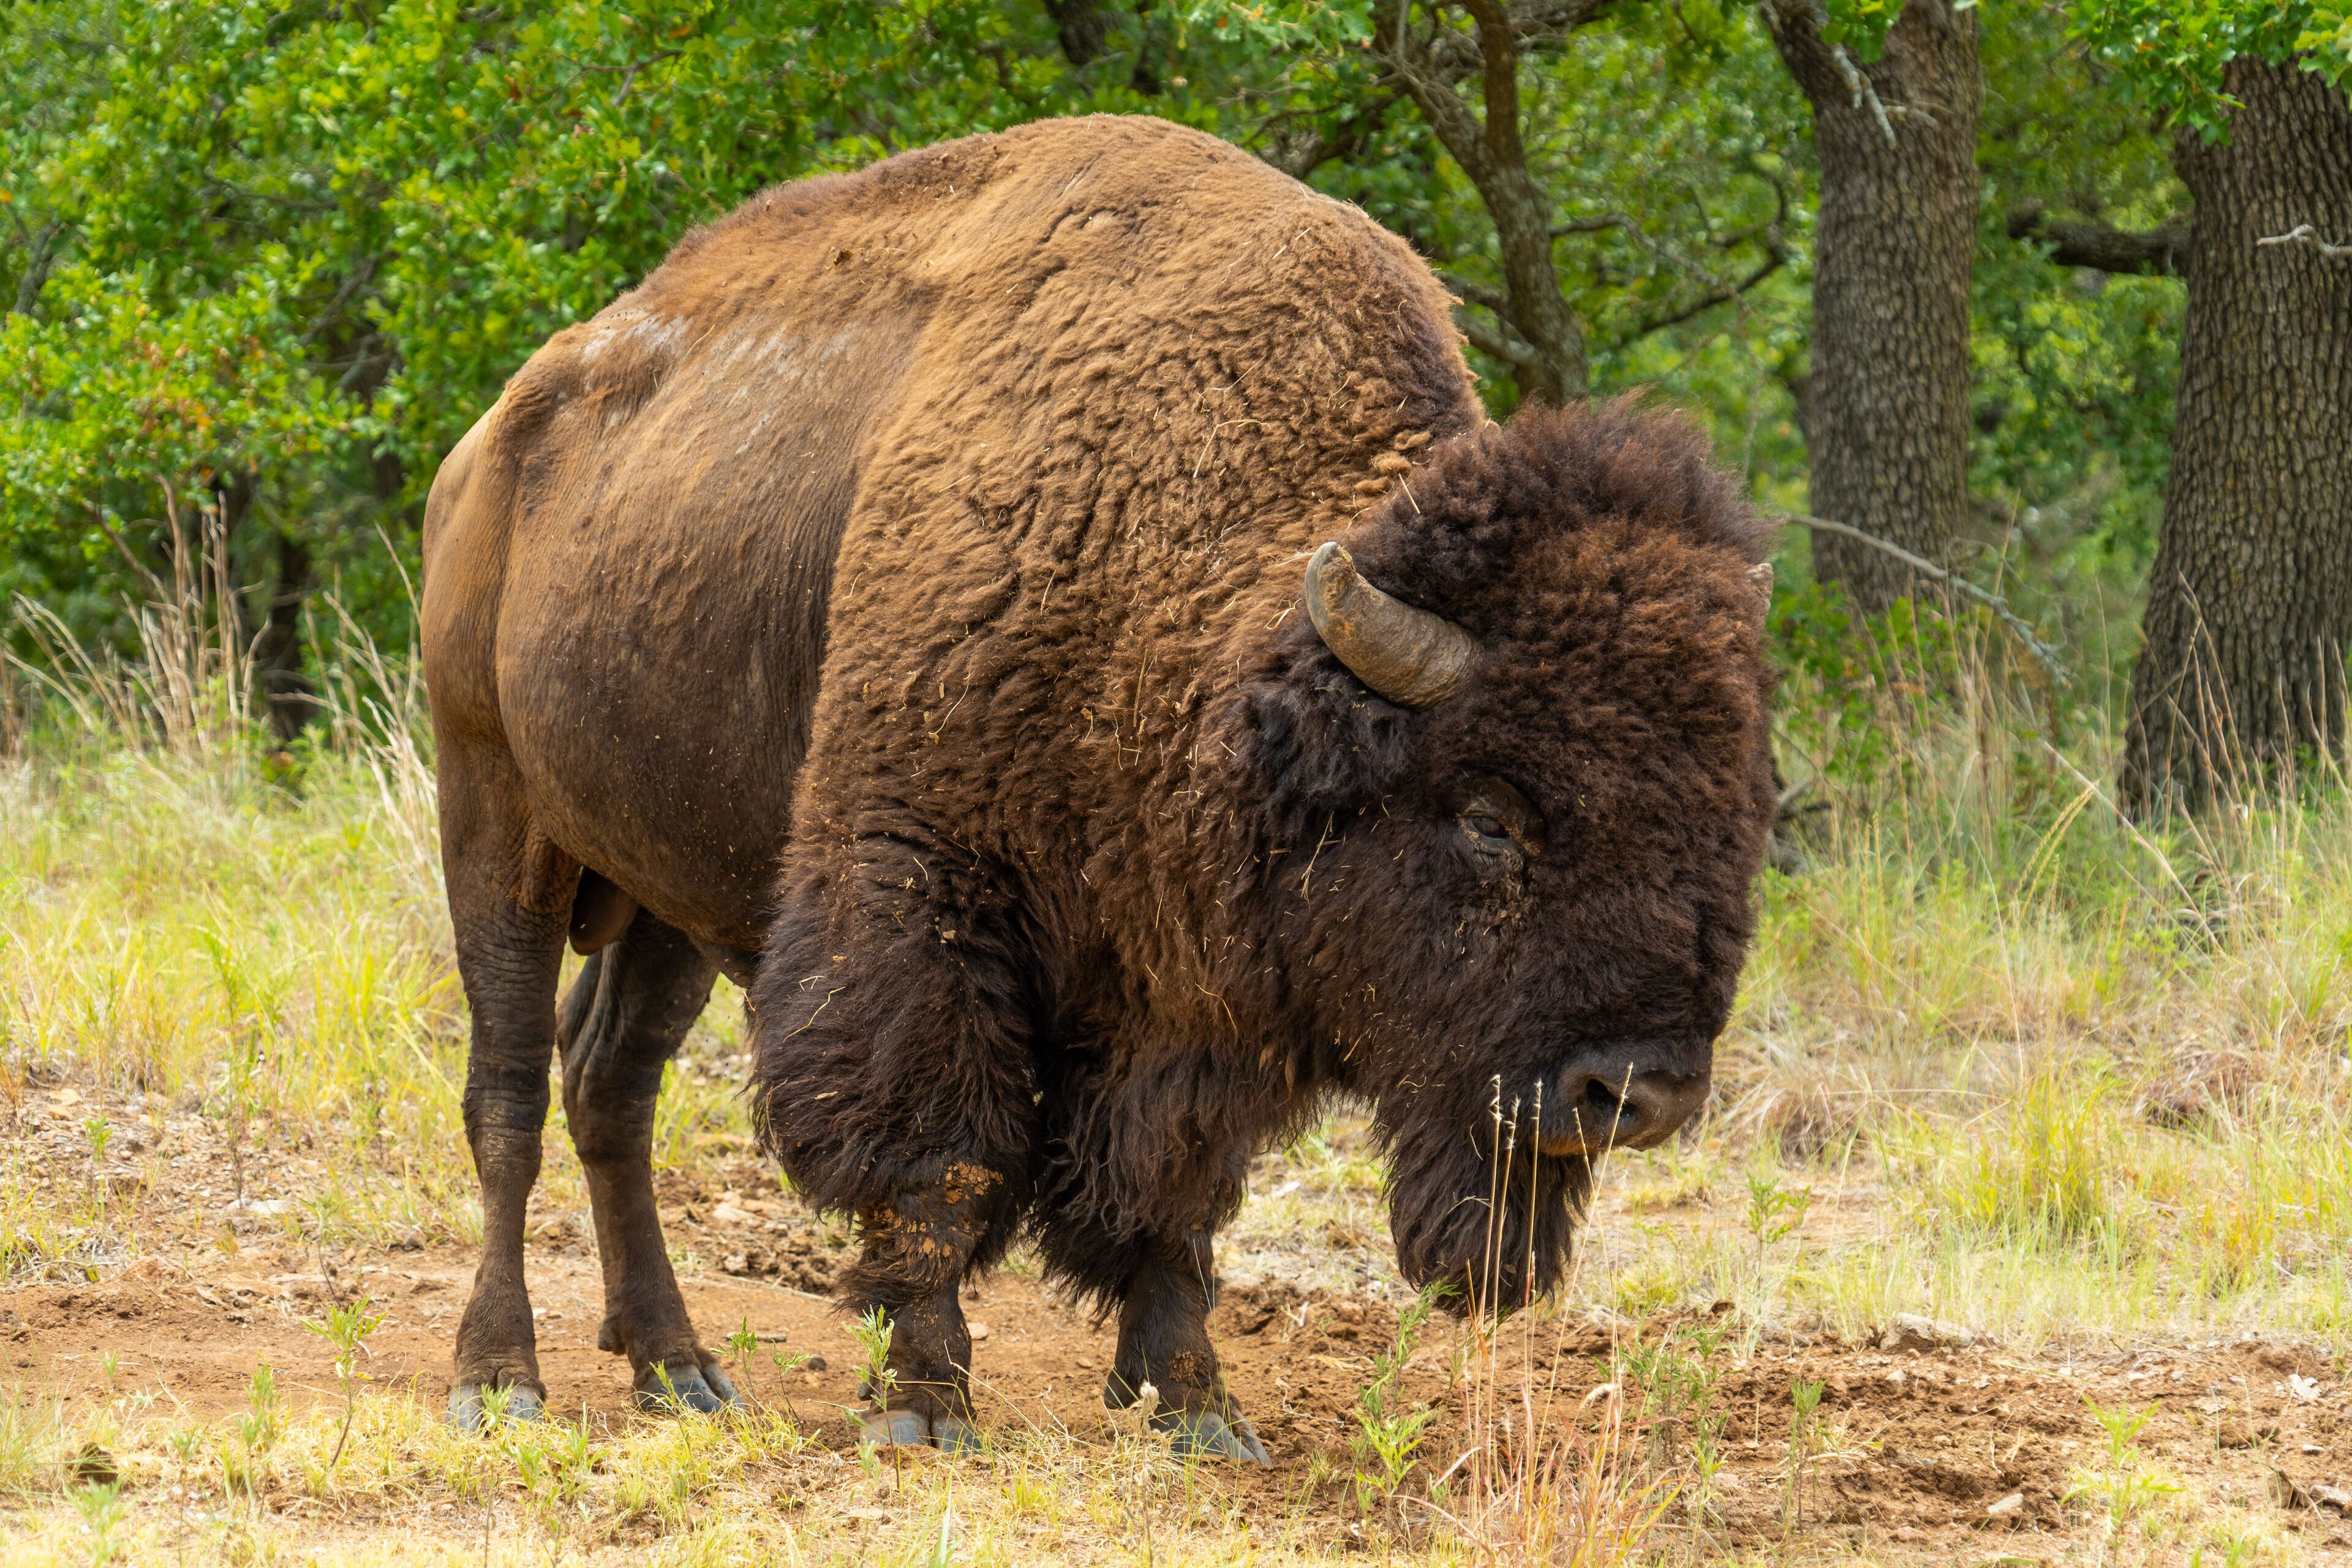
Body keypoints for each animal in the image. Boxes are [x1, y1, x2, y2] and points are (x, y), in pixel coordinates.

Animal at [421, 114, 1777, 1460]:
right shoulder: (921, 891)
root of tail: (484, 450)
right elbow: (940, 1163)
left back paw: (678, 1368)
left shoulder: (1185, 990)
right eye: (1491, 816)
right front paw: (924, 1405)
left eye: (1737, 819)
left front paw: (1198, 1405)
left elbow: (1174, 1191)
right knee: (509, 1091)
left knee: (612, 1081)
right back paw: (499, 1380)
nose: (1638, 1090)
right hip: (494, 815)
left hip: (669, 887)